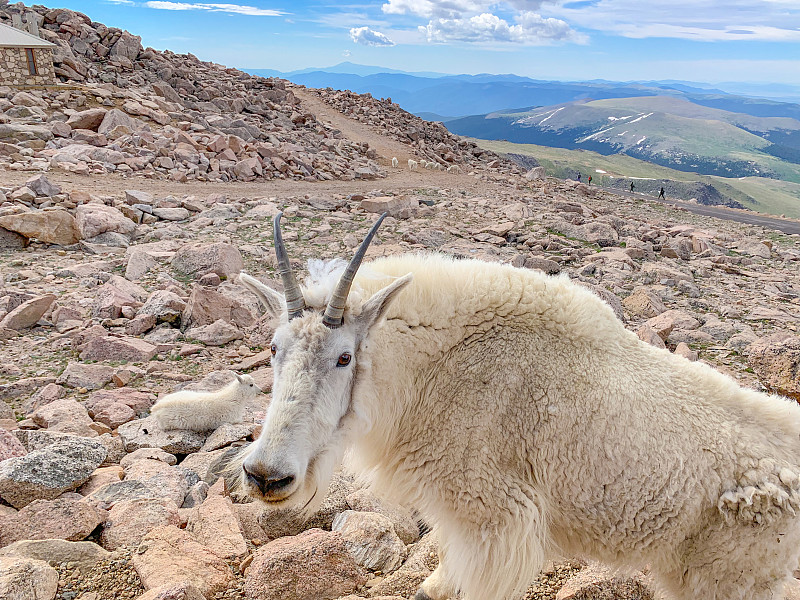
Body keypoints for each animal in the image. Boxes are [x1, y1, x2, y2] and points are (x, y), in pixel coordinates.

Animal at [234, 214, 800, 600]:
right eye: (273, 348)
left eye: (344, 357)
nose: (266, 477)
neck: (433, 368)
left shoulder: (495, 519)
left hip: (731, 576)